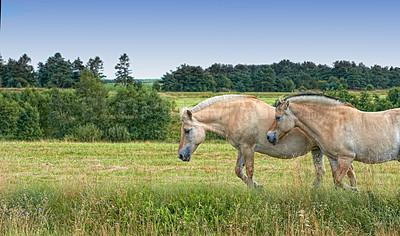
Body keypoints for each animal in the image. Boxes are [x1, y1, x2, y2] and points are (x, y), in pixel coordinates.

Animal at [178, 94, 356, 188]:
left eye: (187, 130)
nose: (180, 155)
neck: (235, 113)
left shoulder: (248, 148)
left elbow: (249, 171)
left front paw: (253, 189)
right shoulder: (242, 149)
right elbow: (239, 171)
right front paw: (257, 187)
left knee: (346, 172)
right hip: (318, 151)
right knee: (324, 172)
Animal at [268, 94, 400, 188]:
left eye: (278, 117)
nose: (269, 136)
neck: (333, 123)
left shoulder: (346, 158)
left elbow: (339, 180)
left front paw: (361, 193)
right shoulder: (334, 158)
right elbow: (338, 180)